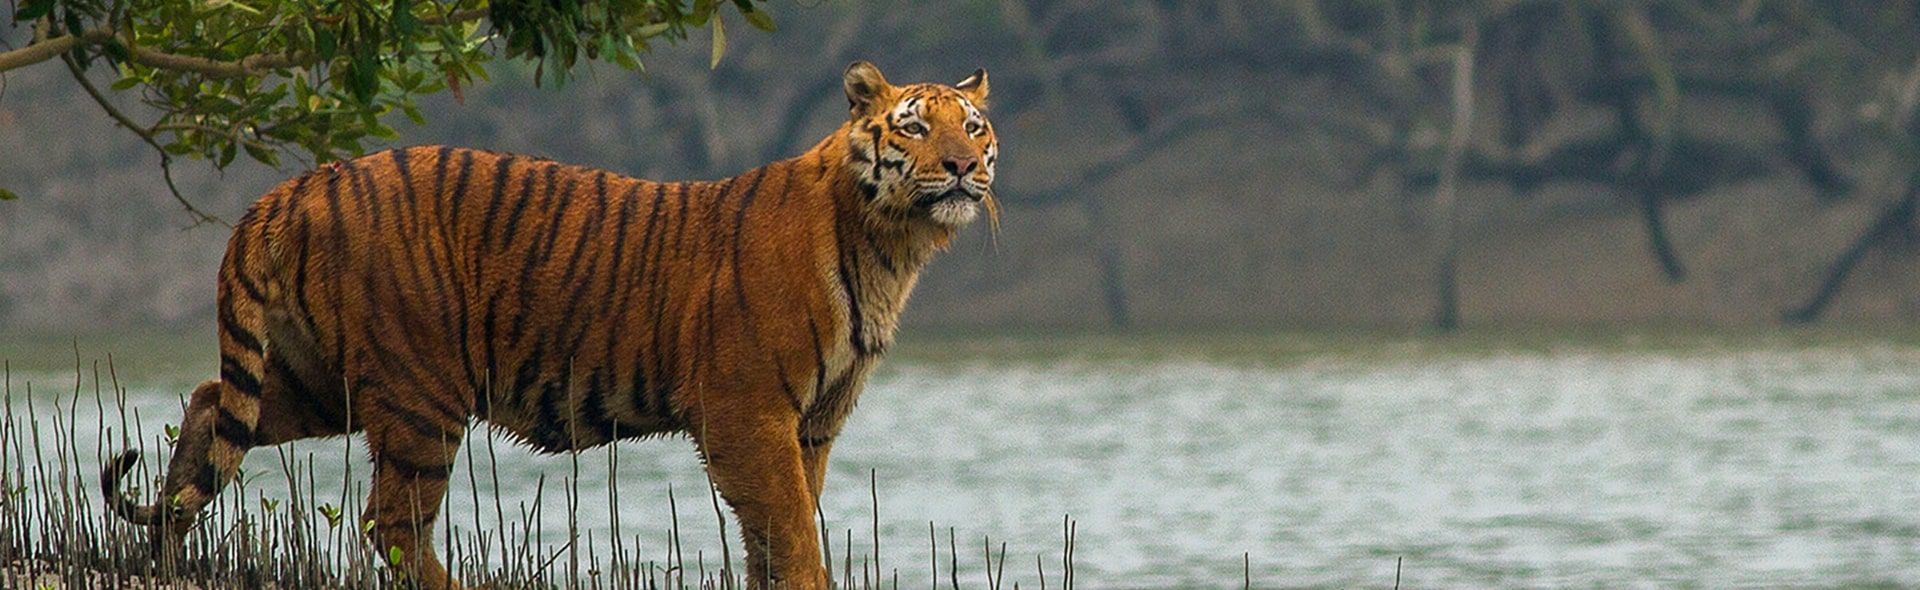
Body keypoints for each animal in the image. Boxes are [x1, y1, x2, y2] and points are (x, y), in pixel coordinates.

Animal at [101, 61, 998, 590]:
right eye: (916, 126)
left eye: (974, 125)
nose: (962, 166)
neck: (891, 243)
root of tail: (295, 187)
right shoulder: (749, 411)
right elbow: (789, 532)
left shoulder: (813, 422)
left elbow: (781, 533)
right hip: (421, 391)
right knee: (391, 522)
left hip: (321, 381)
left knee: (208, 405)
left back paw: (168, 542)